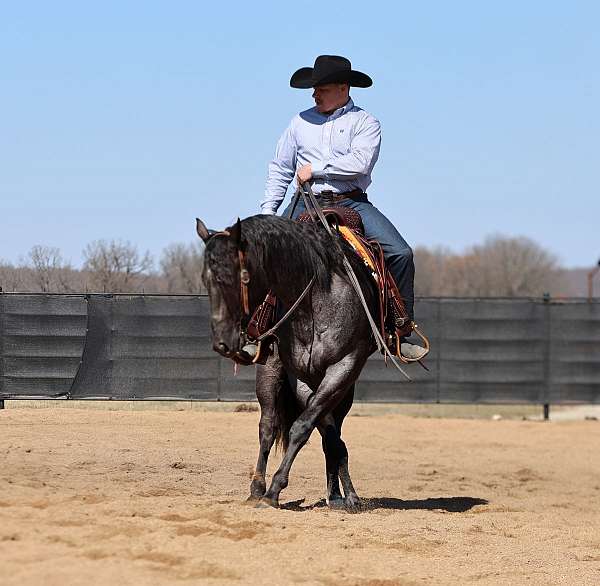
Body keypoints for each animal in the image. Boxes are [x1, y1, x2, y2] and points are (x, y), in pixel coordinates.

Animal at [199, 212, 382, 508]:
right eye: (206, 280)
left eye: (239, 277)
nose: (222, 342)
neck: (315, 302)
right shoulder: (298, 373)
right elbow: (312, 428)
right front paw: (271, 491)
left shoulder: (344, 368)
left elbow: (309, 428)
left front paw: (341, 494)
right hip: (270, 373)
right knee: (268, 426)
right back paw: (257, 488)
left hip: (345, 390)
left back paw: (340, 494)